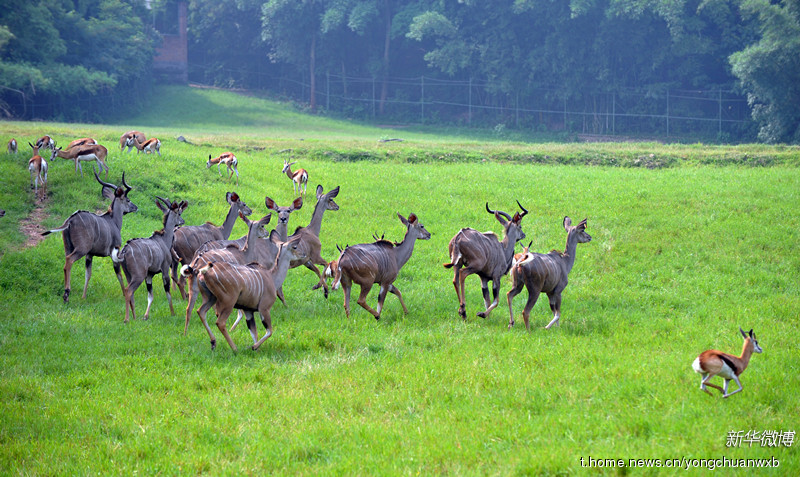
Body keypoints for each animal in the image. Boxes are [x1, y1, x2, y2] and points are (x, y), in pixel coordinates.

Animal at [42, 171, 138, 302]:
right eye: (128, 200)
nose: (135, 207)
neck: (113, 221)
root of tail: (70, 220)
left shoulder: (90, 254)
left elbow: (88, 274)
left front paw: (83, 296)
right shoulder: (114, 251)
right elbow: (119, 274)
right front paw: (124, 295)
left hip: (68, 247)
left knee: (66, 262)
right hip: (81, 249)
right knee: (69, 261)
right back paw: (66, 293)